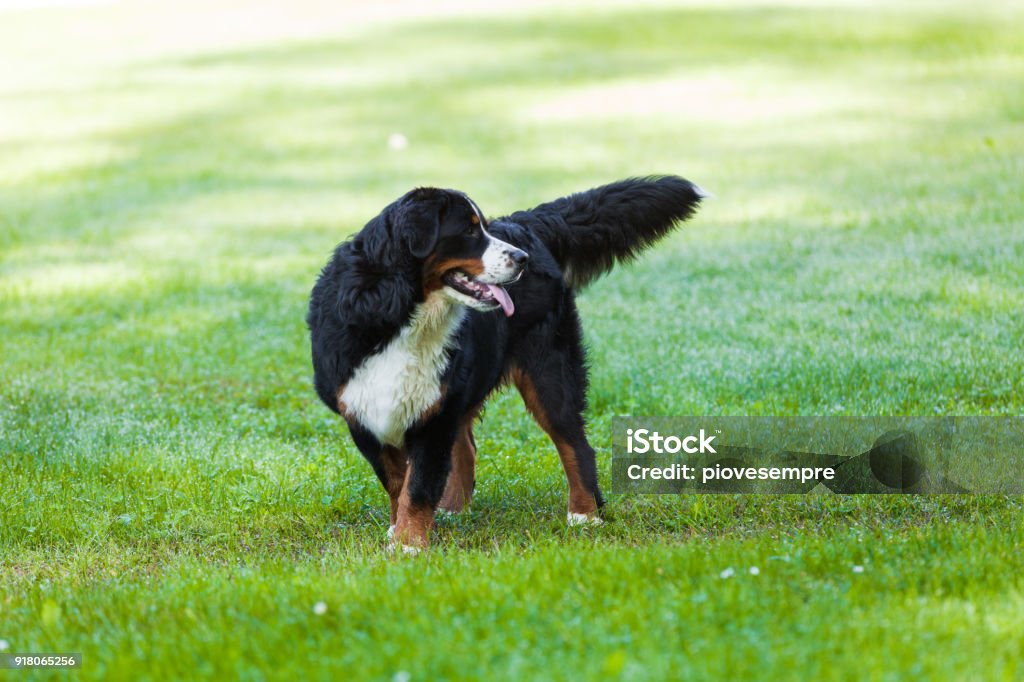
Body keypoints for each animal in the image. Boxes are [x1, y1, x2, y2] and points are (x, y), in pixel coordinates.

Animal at [303, 175, 704, 552]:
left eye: (481, 226)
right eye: (468, 230)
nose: (521, 259)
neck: (399, 311)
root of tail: (523, 223)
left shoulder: (434, 414)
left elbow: (416, 486)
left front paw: (409, 544)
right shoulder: (364, 412)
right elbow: (397, 481)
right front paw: (399, 530)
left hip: (549, 375)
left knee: (575, 444)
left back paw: (584, 514)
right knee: (465, 447)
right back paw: (452, 510)